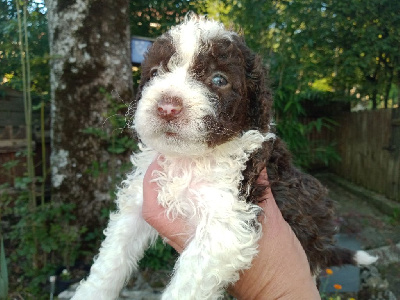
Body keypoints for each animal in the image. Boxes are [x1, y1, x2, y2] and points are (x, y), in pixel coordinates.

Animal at [72, 15, 378, 300]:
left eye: (219, 79)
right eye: (156, 72)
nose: (167, 107)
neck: (189, 160)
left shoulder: (228, 222)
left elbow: (186, 285)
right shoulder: (136, 203)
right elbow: (111, 258)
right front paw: (91, 292)